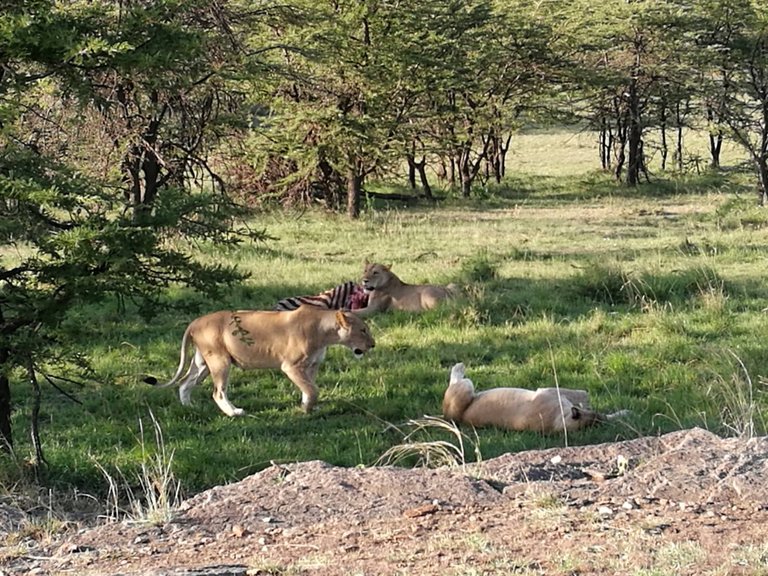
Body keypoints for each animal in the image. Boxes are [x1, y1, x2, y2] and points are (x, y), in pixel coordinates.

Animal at [440, 362, 628, 434]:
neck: (558, 421)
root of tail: (448, 417)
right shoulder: (549, 391)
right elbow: (581, 392)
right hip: (467, 387)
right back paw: (459, 366)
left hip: (466, 388)